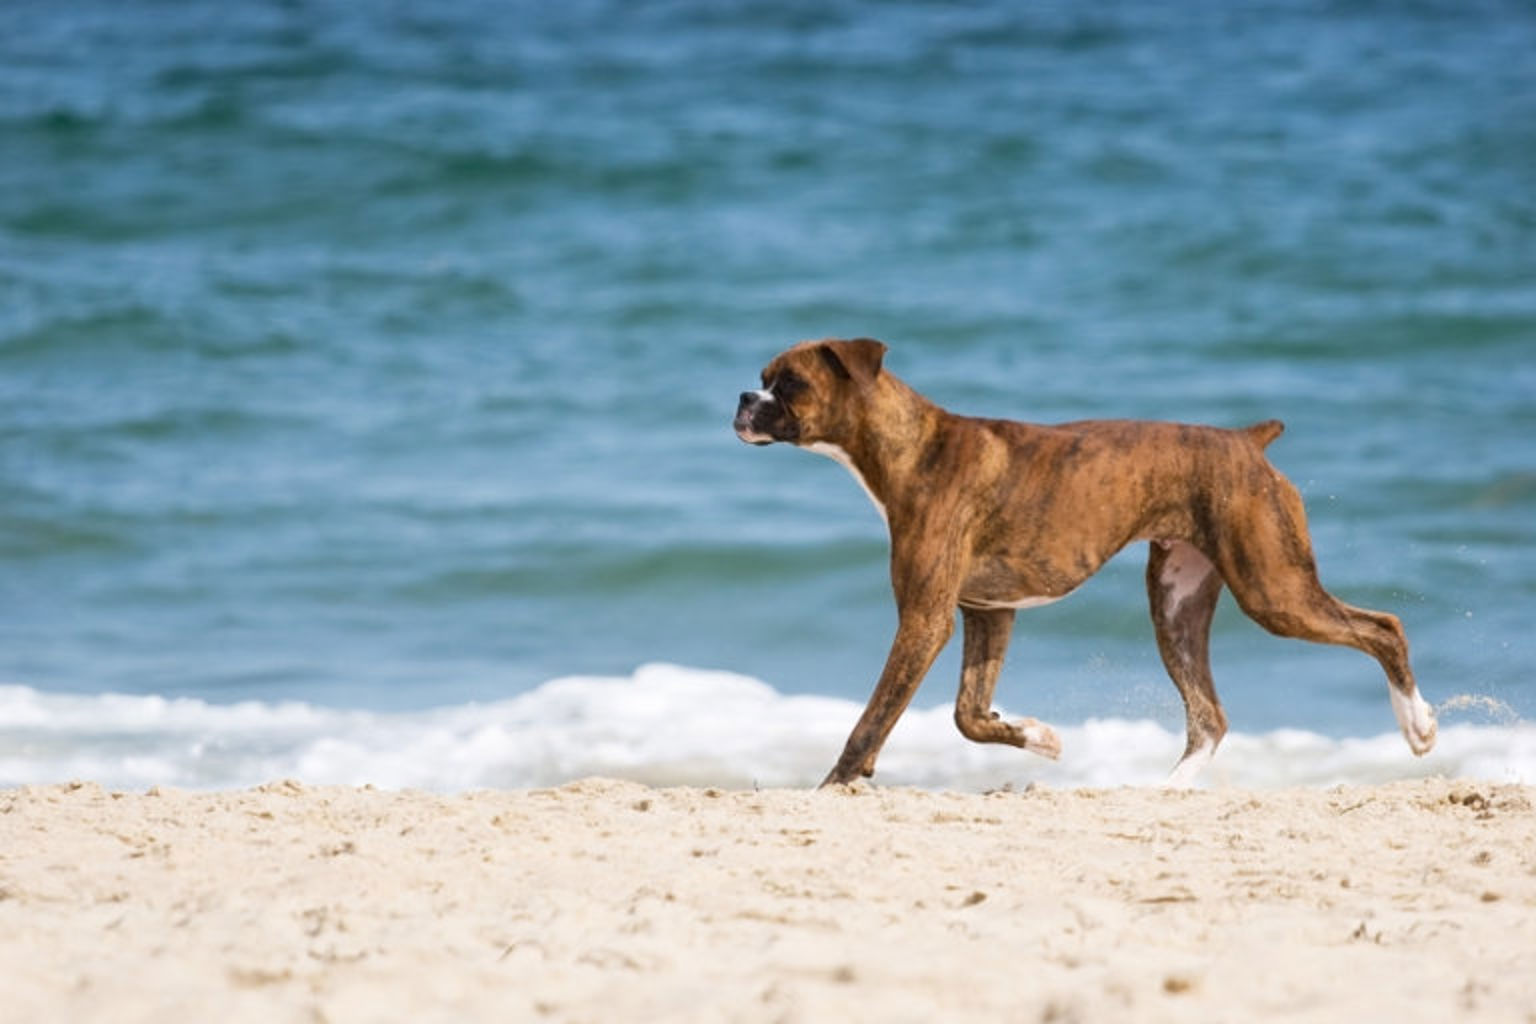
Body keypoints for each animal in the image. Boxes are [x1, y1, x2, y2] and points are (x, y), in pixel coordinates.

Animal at [734, 340, 1437, 792]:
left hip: (1274, 590)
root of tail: (1245, 440)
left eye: (789, 383)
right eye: (762, 375)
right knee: (1208, 717)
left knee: (1384, 628)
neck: (912, 447)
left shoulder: (925, 620)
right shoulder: (988, 613)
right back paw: (1167, 792)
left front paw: (834, 784)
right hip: (1176, 606)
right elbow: (968, 717)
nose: (742, 396)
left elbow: (873, 718)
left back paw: (1419, 726)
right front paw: (1037, 737)